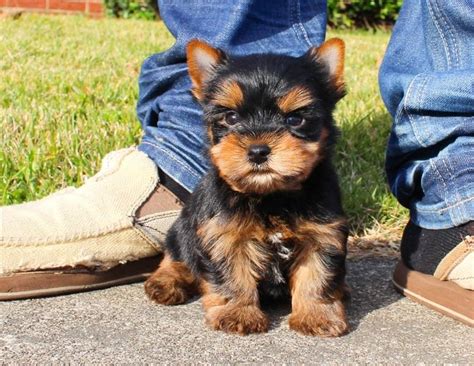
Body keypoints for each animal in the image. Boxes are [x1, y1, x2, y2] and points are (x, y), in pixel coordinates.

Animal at [146, 38, 350, 336]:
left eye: (294, 120)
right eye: (231, 118)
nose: (257, 151)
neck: (272, 196)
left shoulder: (321, 234)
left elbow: (317, 275)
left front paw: (316, 315)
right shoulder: (224, 235)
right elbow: (233, 276)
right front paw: (238, 313)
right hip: (182, 229)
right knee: (177, 257)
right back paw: (165, 282)